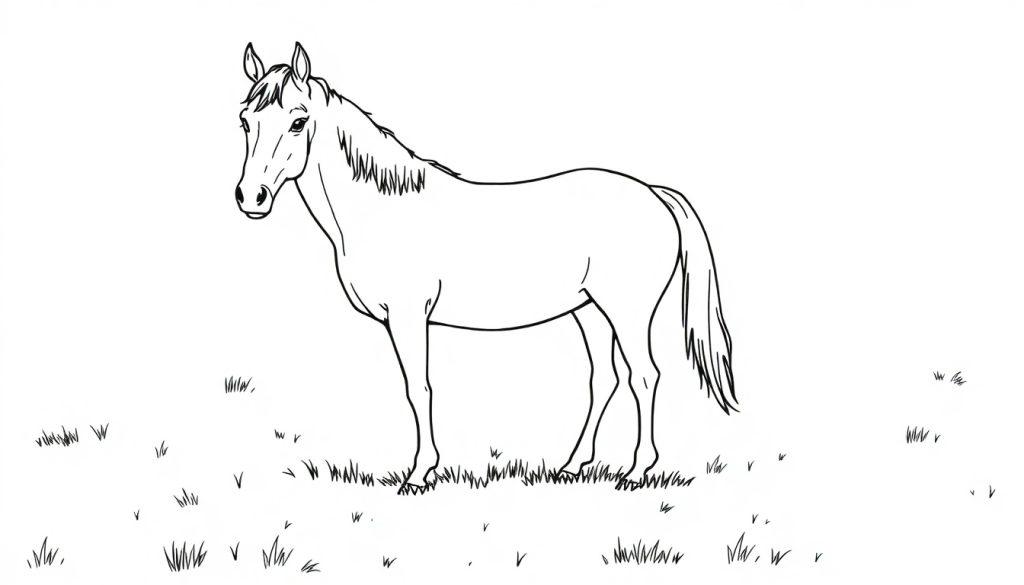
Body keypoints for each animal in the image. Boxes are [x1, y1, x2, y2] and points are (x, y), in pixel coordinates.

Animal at [235, 42, 737, 491]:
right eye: (246, 121)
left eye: (298, 121)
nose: (251, 197)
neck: (381, 211)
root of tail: (653, 192)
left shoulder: (408, 317)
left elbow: (419, 389)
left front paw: (420, 474)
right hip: (590, 311)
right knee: (605, 381)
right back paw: (572, 466)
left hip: (627, 312)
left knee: (644, 377)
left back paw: (636, 470)